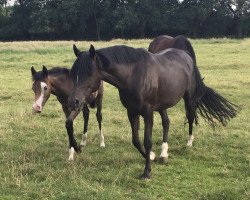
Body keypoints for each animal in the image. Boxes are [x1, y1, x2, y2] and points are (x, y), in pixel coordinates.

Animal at [68, 44, 238, 179]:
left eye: (89, 73)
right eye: (73, 73)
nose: (73, 101)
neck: (133, 75)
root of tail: (186, 56)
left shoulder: (148, 113)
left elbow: (147, 141)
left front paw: (147, 172)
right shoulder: (132, 112)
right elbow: (136, 141)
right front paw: (151, 156)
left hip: (189, 98)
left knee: (190, 117)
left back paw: (189, 142)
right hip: (162, 106)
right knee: (166, 123)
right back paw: (164, 154)